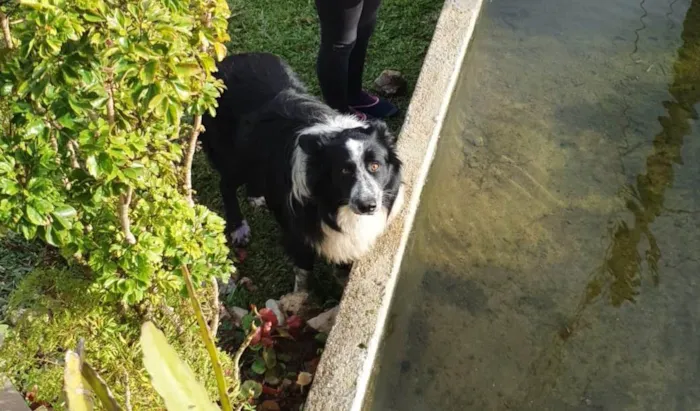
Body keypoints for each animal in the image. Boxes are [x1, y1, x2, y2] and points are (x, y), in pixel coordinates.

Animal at [197, 53, 404, 292]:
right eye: (344, 171)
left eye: (375, 166)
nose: (368, 206)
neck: (332, 203)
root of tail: (226, 60)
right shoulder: (298, 230)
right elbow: (303, 269)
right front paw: (301, 295)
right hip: (234, 157)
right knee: (226, 184)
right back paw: (238, 228)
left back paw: (256, 196)